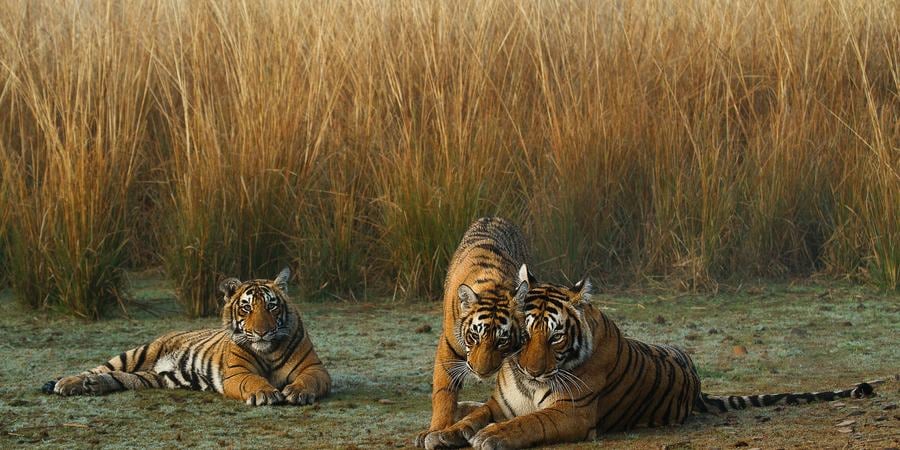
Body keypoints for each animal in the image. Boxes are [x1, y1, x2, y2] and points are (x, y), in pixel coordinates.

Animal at [42, 267, 331, 406]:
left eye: (272, 306)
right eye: (246, 308)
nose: (262, 332)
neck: (268, 350)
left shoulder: (315, 368)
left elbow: (309, 380)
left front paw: (298, 392)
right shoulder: (237, 373)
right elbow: (253, 380)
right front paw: (266, 393)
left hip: (150, 378)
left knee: (118, 378)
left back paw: (92, 385)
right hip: (137, 353)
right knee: (99, 368)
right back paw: (67, 383)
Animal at [415, 217, 531, 448]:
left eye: (502, 341)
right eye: (475, 336)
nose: (482, 372)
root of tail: (494, 216)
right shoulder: (448, 348)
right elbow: (444, 392)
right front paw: (436, 430)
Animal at [425, 264, 881, 450]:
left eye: (555, 336)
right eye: (524, 334)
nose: (533, 372)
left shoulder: (573, 413)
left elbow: (527, 423)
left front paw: (491, 437)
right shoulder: (500, 401)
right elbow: (474, 415)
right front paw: (443, 433)